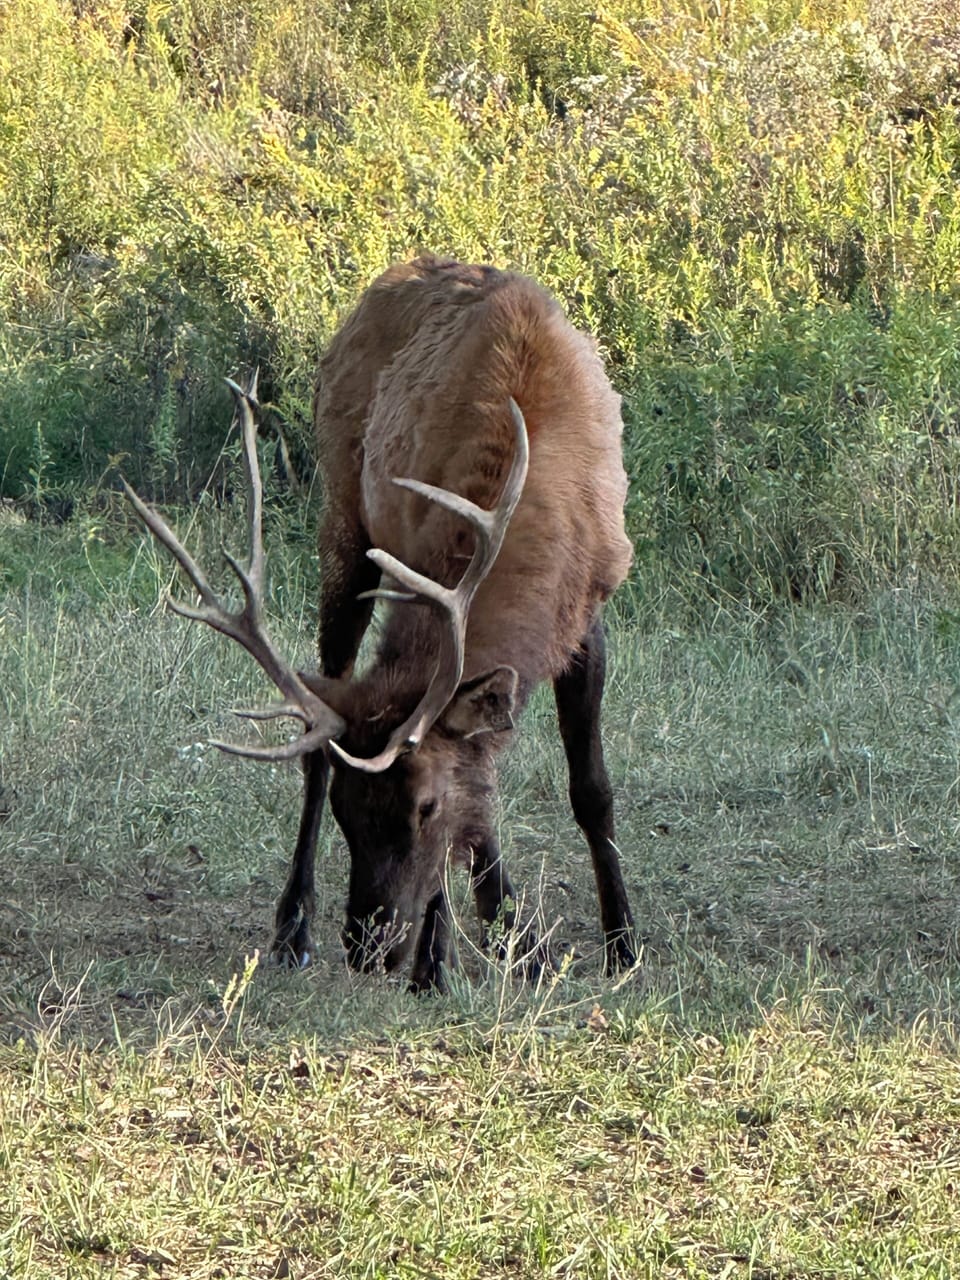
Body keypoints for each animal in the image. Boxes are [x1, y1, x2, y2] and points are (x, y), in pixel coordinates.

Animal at [126, 255, 636, 992]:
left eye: (423, 806)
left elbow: (586, 788)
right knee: (316, 737)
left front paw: (622, 943)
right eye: (349, 810)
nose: (367, 944)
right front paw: (438, 962)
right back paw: (297, 927)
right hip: (343, 521)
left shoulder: (590, 611)